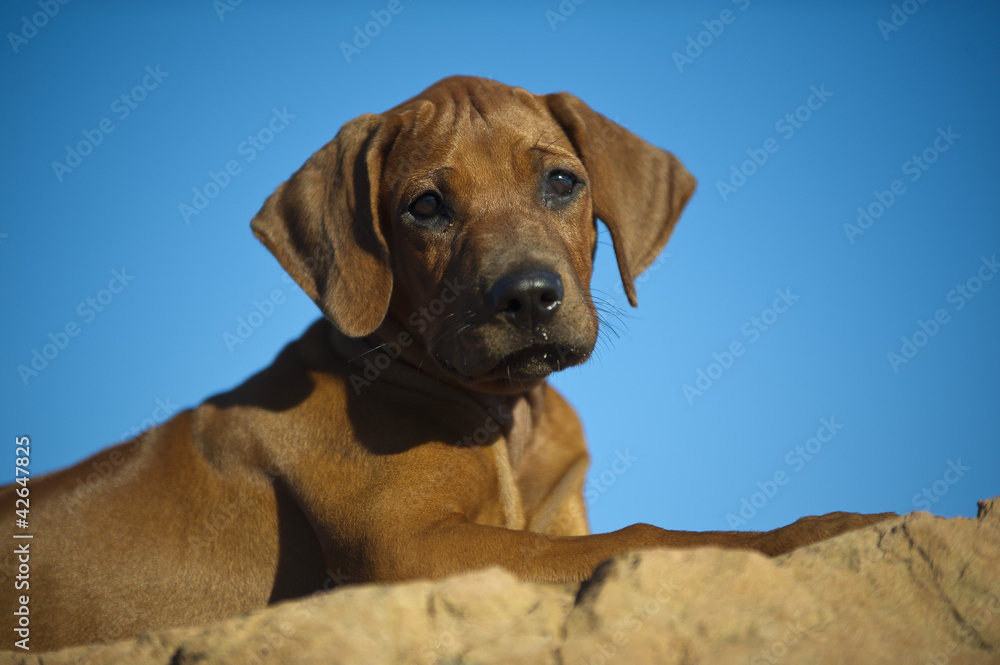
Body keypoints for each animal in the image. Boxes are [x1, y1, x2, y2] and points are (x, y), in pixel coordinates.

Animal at [0, 76, 892, 648]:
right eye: (426, 206)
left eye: (562, 181)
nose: (529, 296)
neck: (502, 412)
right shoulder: (409, 553)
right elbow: (655, 535)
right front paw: (827, 526)